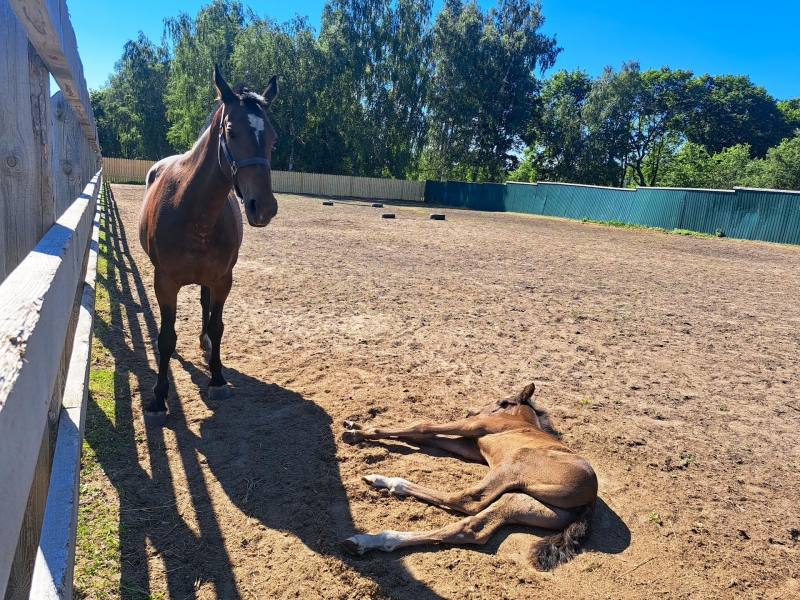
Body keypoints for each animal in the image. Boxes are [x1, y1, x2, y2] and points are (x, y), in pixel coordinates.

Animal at [138, 66, 279, 426]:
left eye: (272, 137)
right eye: (231, 131)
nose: (264, 207)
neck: (192, 210)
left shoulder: (222, 280)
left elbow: (217, 327)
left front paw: (216, 379)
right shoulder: (165, 283)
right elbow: (166, 338)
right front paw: (158, 398)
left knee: (205, 306)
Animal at [341, 382, 598, 570]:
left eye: (502, 402)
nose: (471, 411)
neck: (519, 421)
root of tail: (591, 500)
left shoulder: (473, 426)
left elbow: (422, 427)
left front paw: (354, 433)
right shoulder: (470, 447)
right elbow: (420, 436)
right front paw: (354, 423)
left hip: (513, 465)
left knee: (467, 500)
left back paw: (386, 486)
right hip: (524, 502)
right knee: (472, 527)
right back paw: (368, 538)